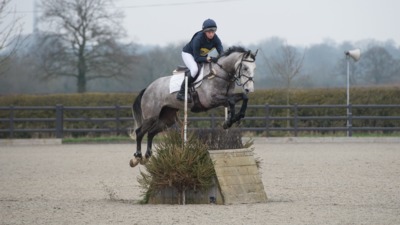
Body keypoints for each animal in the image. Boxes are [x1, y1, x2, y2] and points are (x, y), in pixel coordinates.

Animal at [130, 45, 258, 167]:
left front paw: (234, 118)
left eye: (254, 68)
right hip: (151, 116)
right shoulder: (211, 100)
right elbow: (231, 101)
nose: (249, 89)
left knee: (151, 132)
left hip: (167, 119)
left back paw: (147, 156)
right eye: (245, 68)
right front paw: (229, 121)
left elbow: (243, 98)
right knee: (139, 132)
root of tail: (148, 88)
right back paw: (137, 157)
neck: (220, 74)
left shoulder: (225, 99)